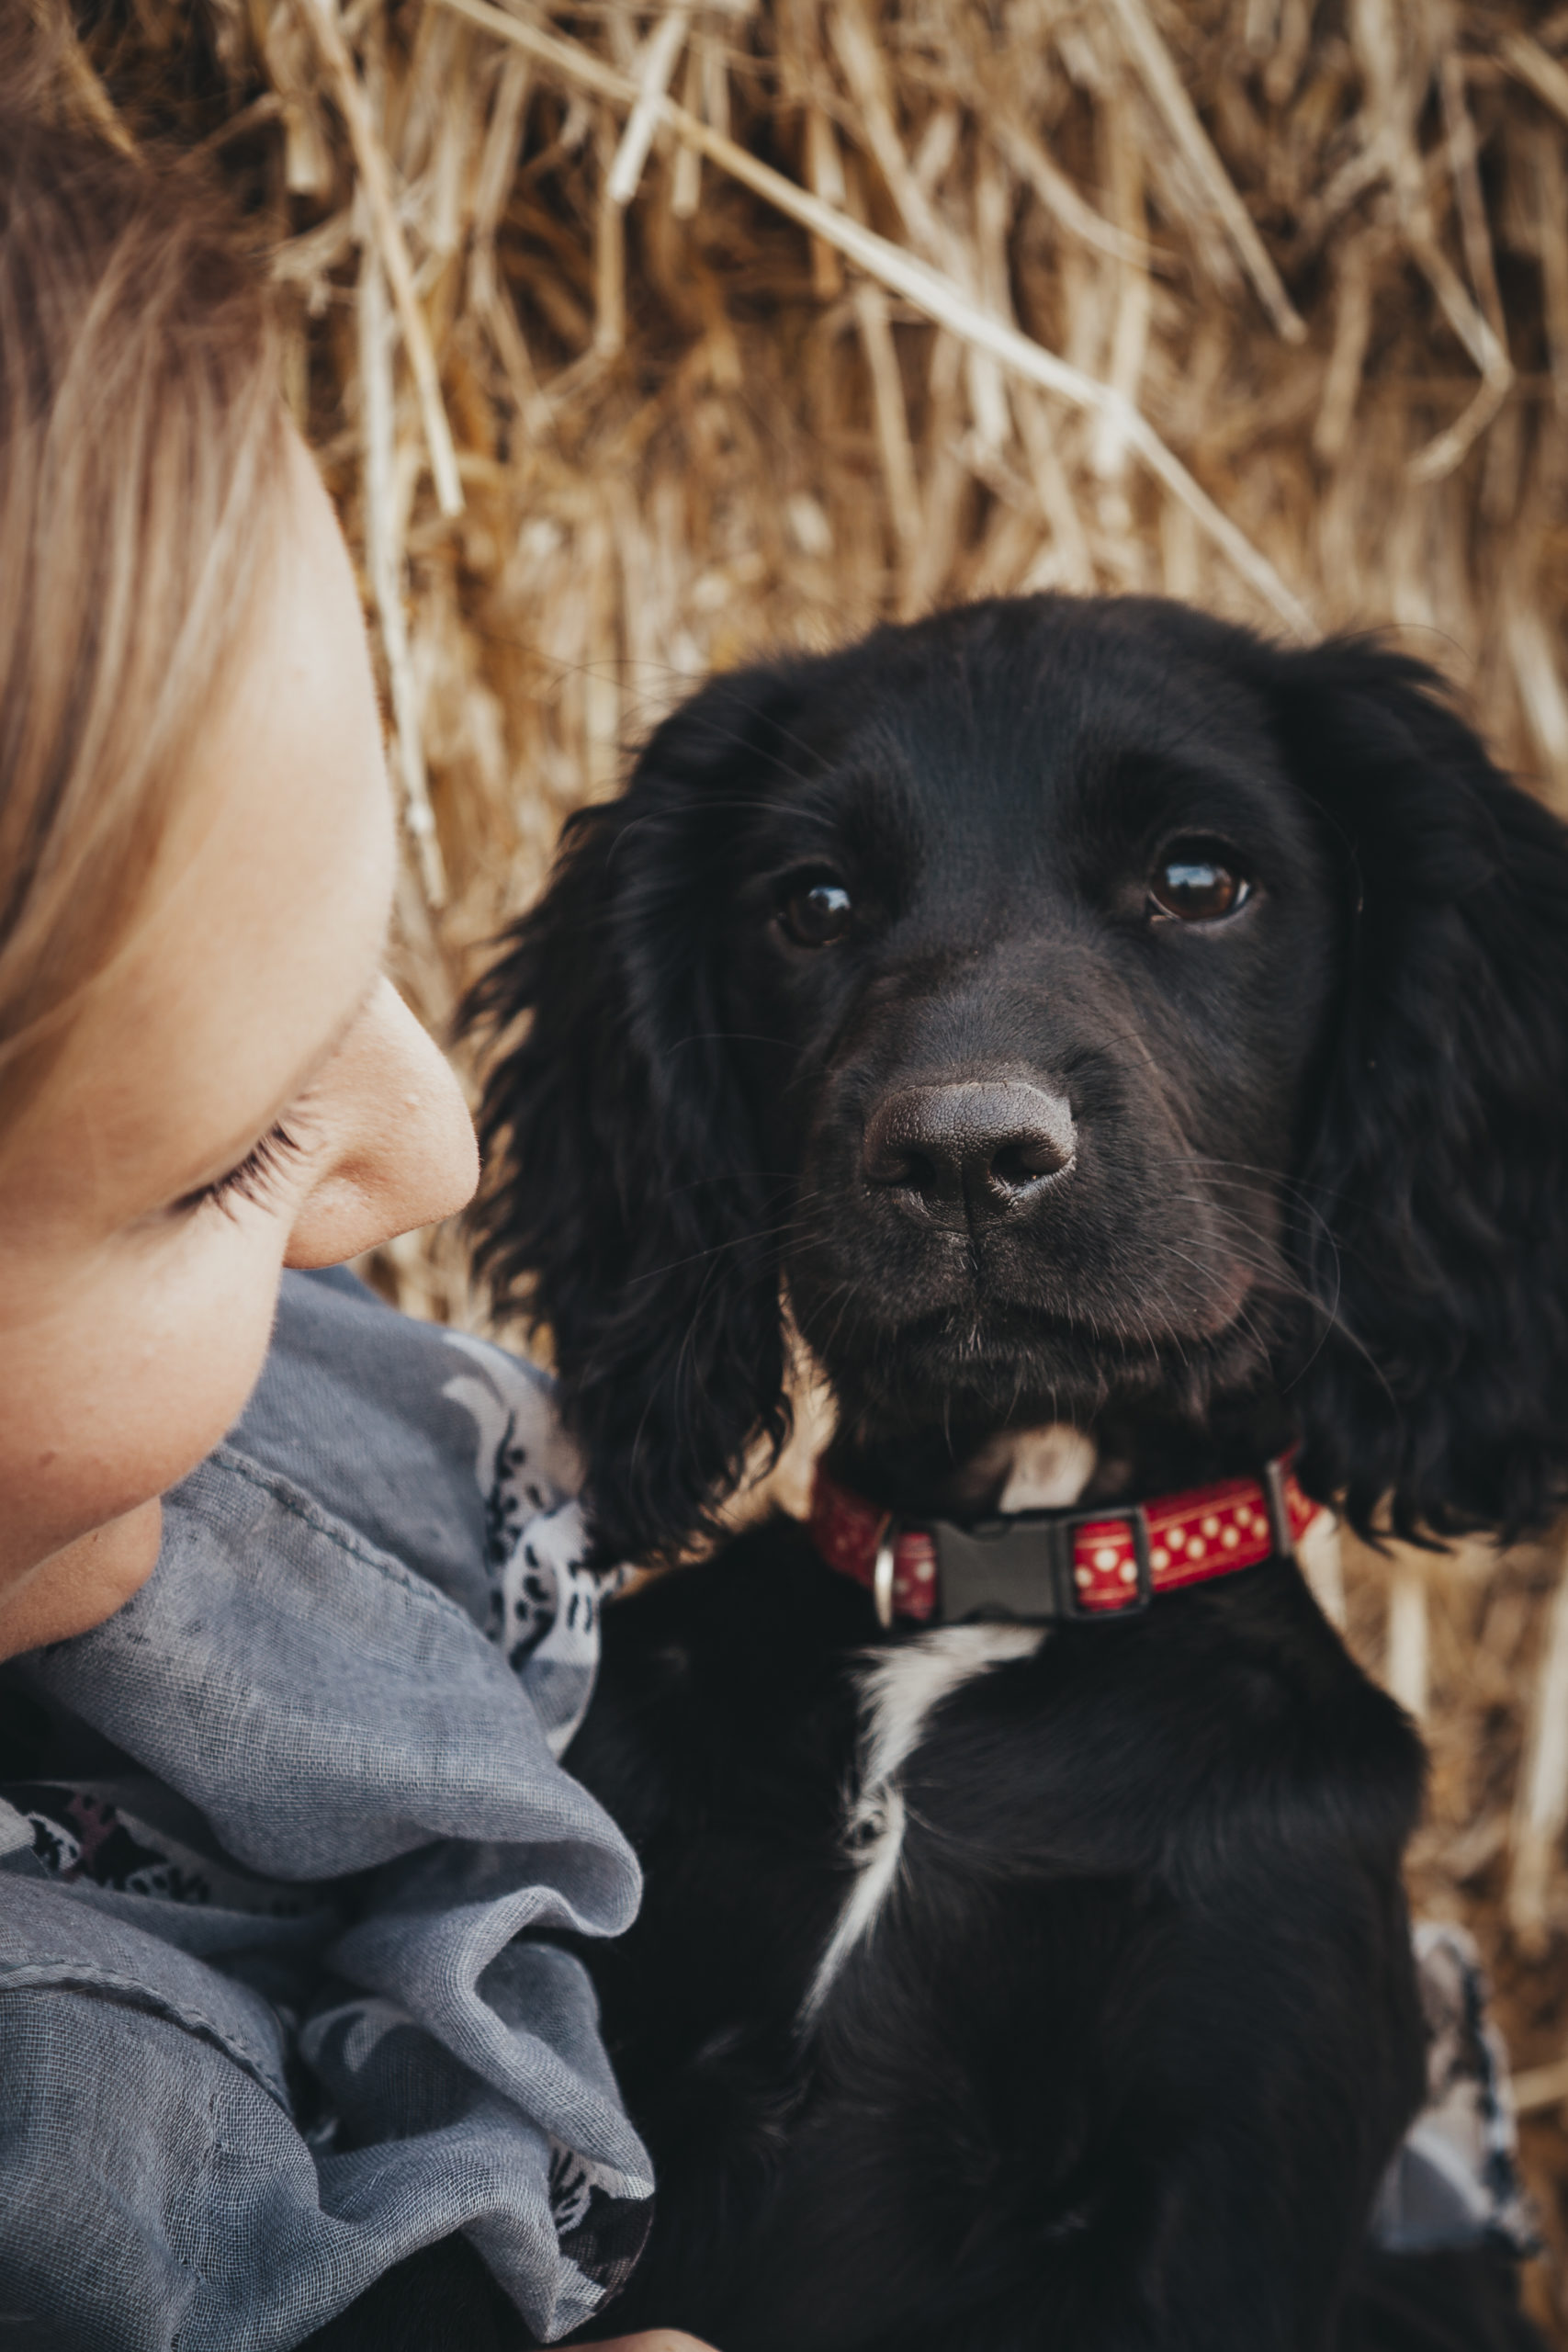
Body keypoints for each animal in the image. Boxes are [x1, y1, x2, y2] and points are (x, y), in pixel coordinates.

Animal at [320, 602, 1568, 2352]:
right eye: (813, 906)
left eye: (1200, 880)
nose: (965, 1156)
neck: (998, 1570)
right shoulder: (547, 2057)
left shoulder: (1221, 2170)